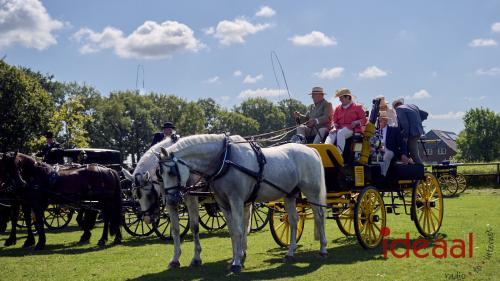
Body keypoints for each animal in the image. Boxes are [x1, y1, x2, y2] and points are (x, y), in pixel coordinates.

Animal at [123, 138, 203, 266]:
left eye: (149, 195)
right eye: (135, 196)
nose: (147, 219)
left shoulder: (191, 198)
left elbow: (194, 226)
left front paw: (196, 257)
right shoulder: (170, 202)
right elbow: (175, 229)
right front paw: (175, 259)